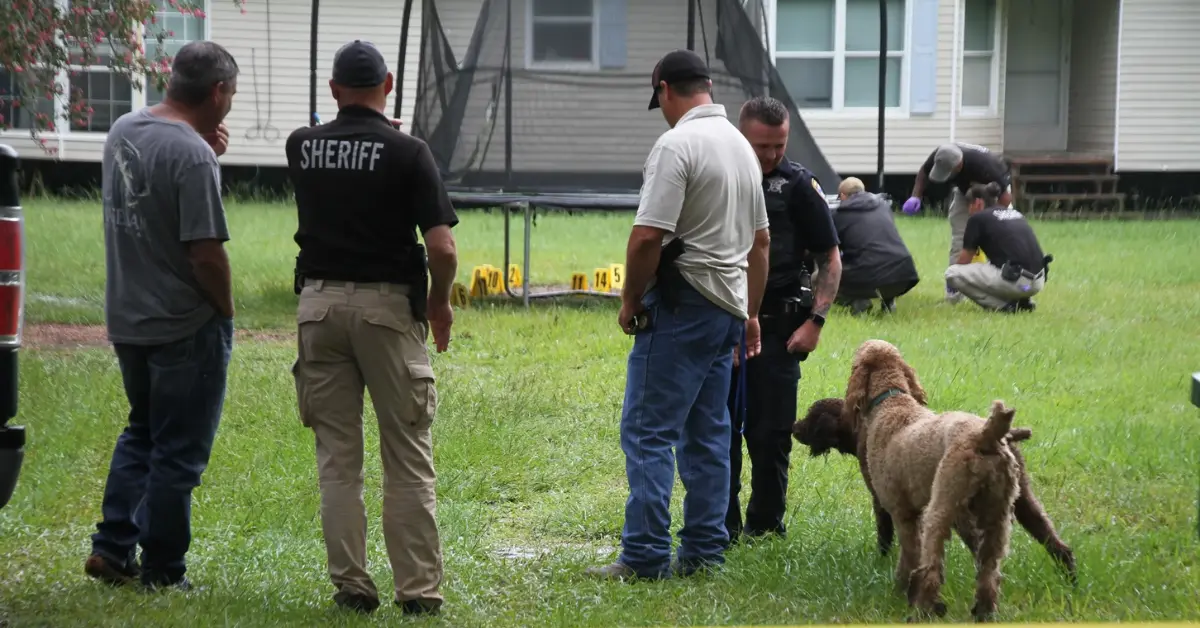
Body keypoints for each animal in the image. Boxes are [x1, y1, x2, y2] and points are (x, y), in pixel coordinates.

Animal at [796, 398, 1080, 585]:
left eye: (811, 416)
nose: (794, 428)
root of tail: (996, 436)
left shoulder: (883, 500)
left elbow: (885, 536)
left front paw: (881, 562)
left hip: (961, 510)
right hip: (1023, 501)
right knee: (1056, 544)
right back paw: (1071, 582)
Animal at [844, 336, 1022, 619]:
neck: (892, 400)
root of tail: (986, 436)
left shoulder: (903, 513)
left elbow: (910, 554)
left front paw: (900, 588)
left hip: (940, 509)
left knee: (932, 568)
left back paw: (924, 608)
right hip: (998, 516)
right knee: (989, 570)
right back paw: (983, 610)